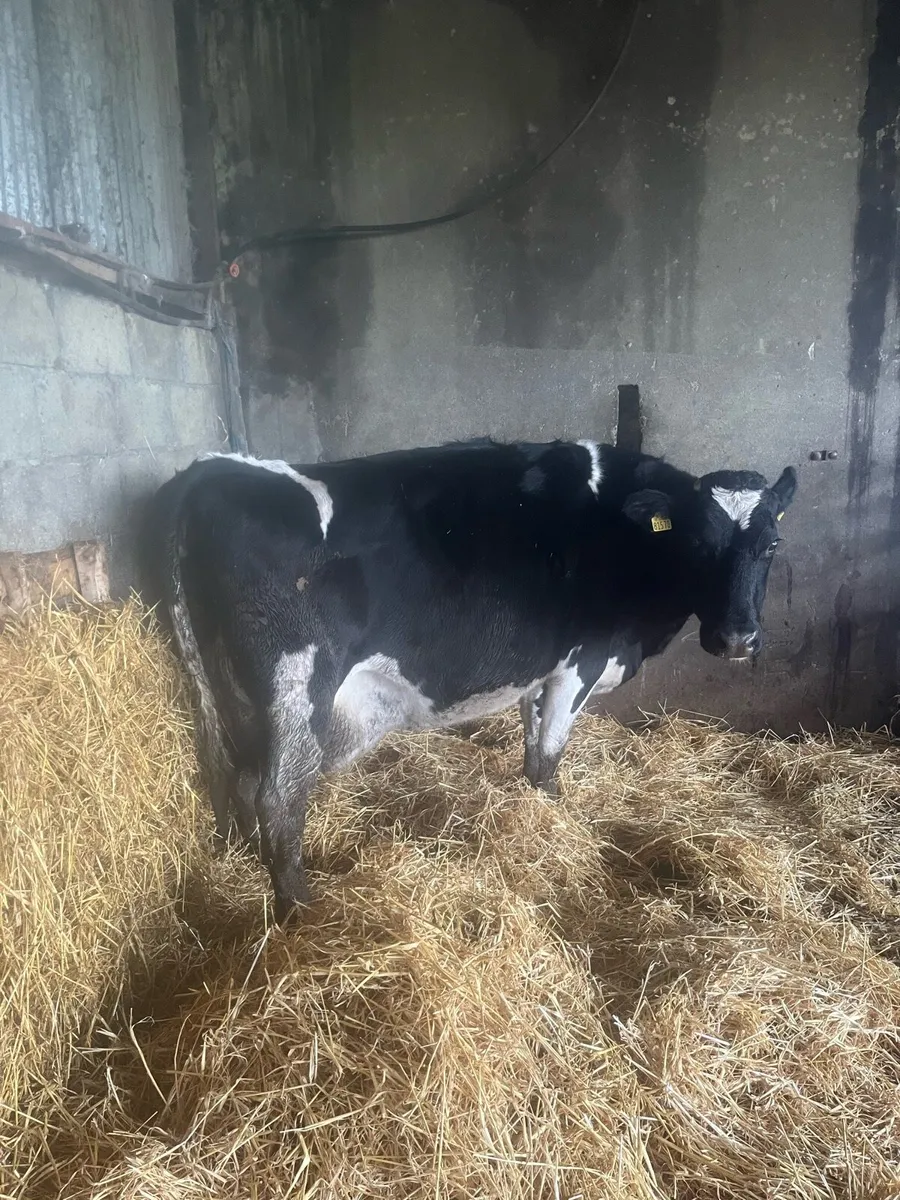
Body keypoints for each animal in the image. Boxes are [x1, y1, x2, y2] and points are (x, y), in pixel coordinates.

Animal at [141, 438, 796, 922]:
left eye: (771, 543)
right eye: (698, 541)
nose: (738, 638)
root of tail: (211, 469)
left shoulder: (540, 674)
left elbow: (531, 752)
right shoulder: (576, 666)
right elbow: (548, 762)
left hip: (229, 691)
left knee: (232, 775)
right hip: (296, 684)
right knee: (278, 795)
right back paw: (300, 912)